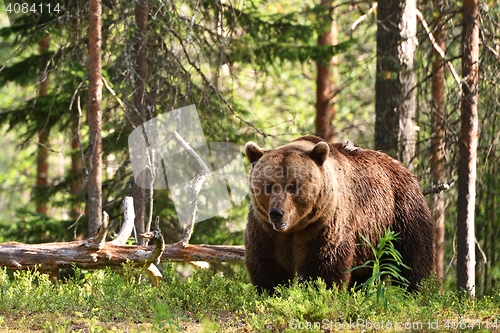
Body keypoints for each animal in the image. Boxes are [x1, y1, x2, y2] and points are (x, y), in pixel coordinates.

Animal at [245, 134, 434, 292]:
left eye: (292, 186)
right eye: (269, 185)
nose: (277, 213)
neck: (295, 227)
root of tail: (401, 166)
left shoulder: (323, 224)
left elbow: (324, 265)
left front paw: (318, 291)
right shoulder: (265, 230)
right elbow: (269, 266)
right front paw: (271, 291)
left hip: (400, 213)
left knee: (412, 259)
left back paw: (414, 291)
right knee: (364, 273)